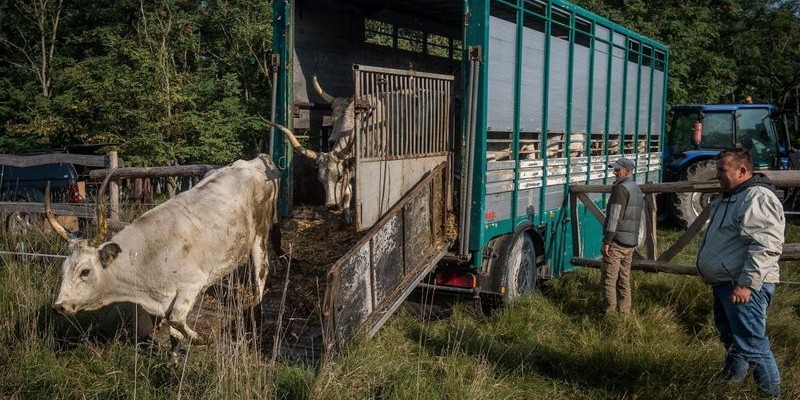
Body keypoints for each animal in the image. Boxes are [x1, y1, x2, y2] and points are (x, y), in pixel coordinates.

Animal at [47, 155, 280, 352]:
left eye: (85, 271)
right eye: (63, 270)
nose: (59, 307)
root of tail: (255, 161)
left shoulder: (192, 285)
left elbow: (176, 320)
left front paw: (200, 339)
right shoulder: (166, 300)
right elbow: (173, 331)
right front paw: (174, 361)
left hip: (259, 236)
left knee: (261, 272)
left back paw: (257, 314)